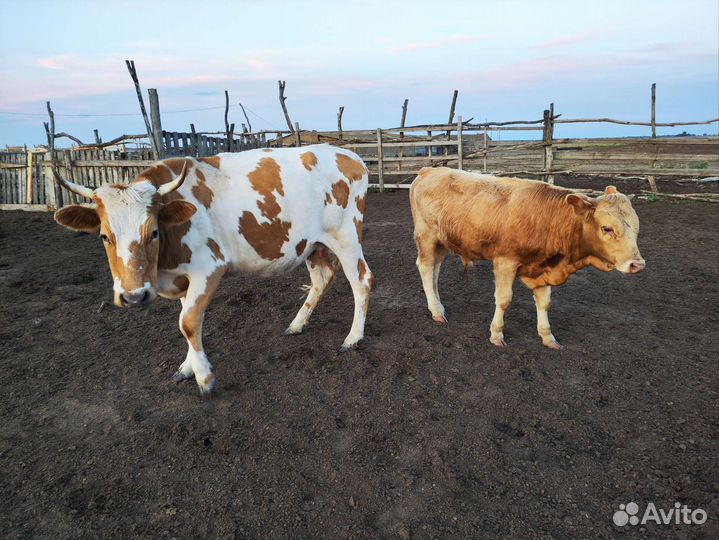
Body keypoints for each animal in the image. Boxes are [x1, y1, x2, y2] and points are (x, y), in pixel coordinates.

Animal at [52, 144, 373, 394]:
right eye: (104, 236)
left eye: (153, 232)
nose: (133, 297)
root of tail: (348, 155)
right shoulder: (183, 277)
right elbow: (188, 320)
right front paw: (188, 366)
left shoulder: (209, 268)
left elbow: (188, 321)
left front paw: (204, 378)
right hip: (311, 243)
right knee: (322, 277)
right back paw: (297, 324)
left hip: (346, 236)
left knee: (362, 280)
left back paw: (353, 338)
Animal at [409, 167, 645, 349]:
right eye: (607, 228)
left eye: (637, 228)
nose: (637, 264)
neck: (546, 218)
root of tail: (429, 170)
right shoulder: (505, 261)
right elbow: (504, 299)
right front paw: (496, 334)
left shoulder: (544, 265)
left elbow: (544, 302)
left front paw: (548, 337)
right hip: (426, 236)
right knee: (425, 267)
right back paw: (436, 311)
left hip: (441, 242)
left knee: (435, 270)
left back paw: (439, 306)